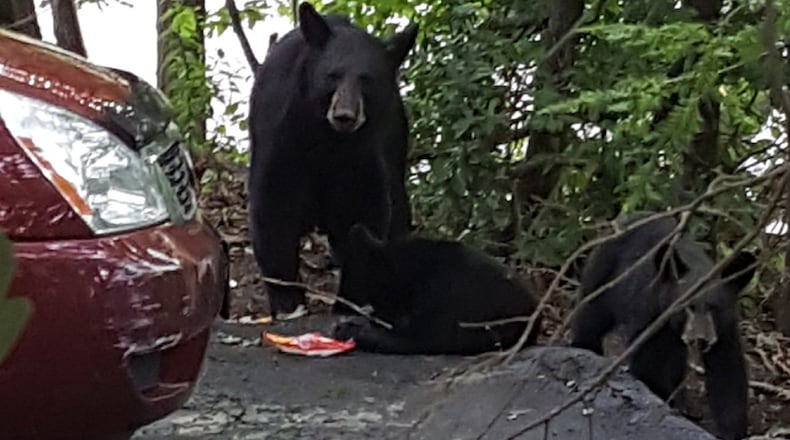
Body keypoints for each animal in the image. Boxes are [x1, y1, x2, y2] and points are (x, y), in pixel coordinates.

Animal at [246, 3, 418, 319]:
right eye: (332, 75)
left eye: (367, 79)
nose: (344, 116)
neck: (327, 143)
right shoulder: (283, 145)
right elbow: (274, 214)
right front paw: (289, 303)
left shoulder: (359, 159)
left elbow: (362, 218)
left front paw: (350, 302)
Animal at [570, 211, 756, 440]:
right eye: (687, 306)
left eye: (715, 307)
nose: (700, 339)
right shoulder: (650, 316)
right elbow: (649, 365)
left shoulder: (724, 330)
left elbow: (728, 373)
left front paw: (731, 430)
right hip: (601, 277)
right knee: (590, 318)